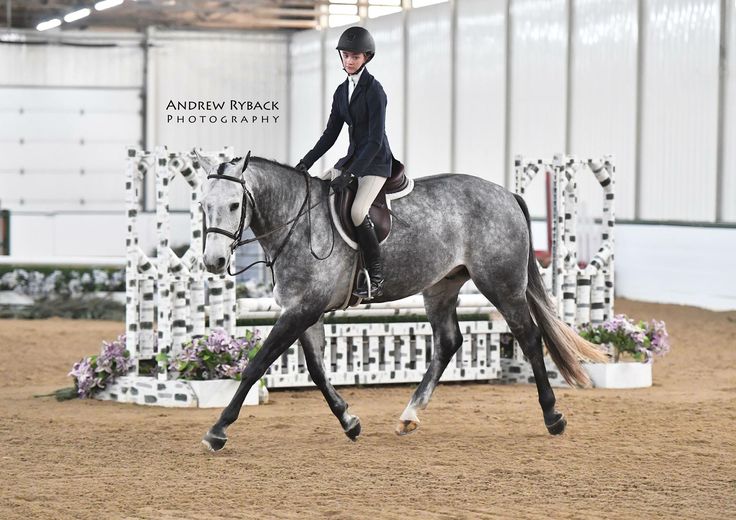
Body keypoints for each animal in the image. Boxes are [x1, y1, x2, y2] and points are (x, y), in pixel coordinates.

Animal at [196, 151, 604, 450]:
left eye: (234, 205)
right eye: (203, 205)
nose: (213, 262)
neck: (297, 221)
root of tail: (506, 194)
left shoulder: (302, 310)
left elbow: (256, 365)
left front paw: (218, 430)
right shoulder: (305, 311)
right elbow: (316, 370)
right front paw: (350, 422)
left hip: (501, 285)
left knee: (529, 337)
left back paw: (553, 417)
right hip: (441, 287)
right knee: (449, 341)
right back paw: (409, 414)